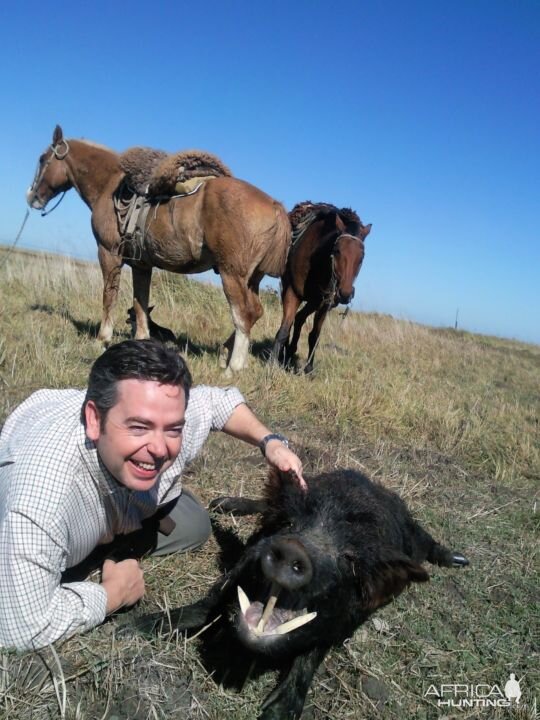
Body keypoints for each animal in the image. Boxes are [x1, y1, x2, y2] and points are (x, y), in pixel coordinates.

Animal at [28, 126, 292, 374]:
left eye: (42, 159)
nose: (31, 197)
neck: (109, 184)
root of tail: (275, 206)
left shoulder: (108, 253)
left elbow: (109, 296)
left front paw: (102, 339)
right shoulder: (141, 265)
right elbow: (140, 303)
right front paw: (141, 341)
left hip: (232, 274)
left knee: (243, 314)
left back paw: (233, 367)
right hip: (252, 278)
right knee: (255, 311)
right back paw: (225, 353)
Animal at [272, 201, 370, 374]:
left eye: (362, 257)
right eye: (337, 250)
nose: (345, 294)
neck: (317, 264)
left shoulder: (325, 303)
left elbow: (314, 335)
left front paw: (309, 368)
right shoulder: (292, 293)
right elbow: (284, 330)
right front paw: (272, 364)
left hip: (314, 301)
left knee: (300, 318)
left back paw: (291, 351)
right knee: (294, 320)